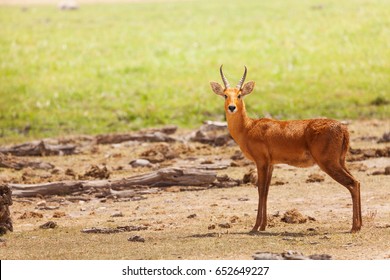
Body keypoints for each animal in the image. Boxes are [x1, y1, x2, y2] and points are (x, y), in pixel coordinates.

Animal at [210, 65, 362, 232]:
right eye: (225, 95)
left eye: (239, 94)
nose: (232, 107)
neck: (248, 128)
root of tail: (343, 128)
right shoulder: (271, 164)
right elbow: (266, 191)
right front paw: (263, 225)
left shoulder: (261, 162)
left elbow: (260, 190)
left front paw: (255, 227)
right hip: (340, 161)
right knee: (358, 182)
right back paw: (359, 225)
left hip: (328, 163)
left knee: (353, 183)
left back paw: (354, 227)